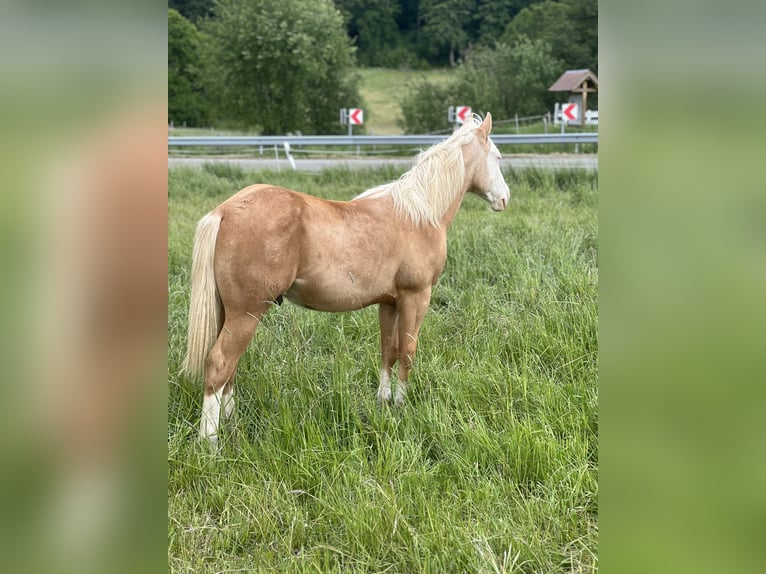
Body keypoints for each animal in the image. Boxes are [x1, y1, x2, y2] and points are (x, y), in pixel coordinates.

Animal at [182, 113, 509, 444]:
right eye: (497, 157)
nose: (505, 199)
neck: (419, 214)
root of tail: (225, 211)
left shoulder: (389, 303)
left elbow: (388, 352)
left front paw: (383, 403)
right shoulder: (416, 297)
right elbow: (407, 351)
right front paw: (401, 406)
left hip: (229, 313)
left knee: (230, 369)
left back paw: (231, 424)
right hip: (246, 313)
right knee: (220, 363)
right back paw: (210, 442)